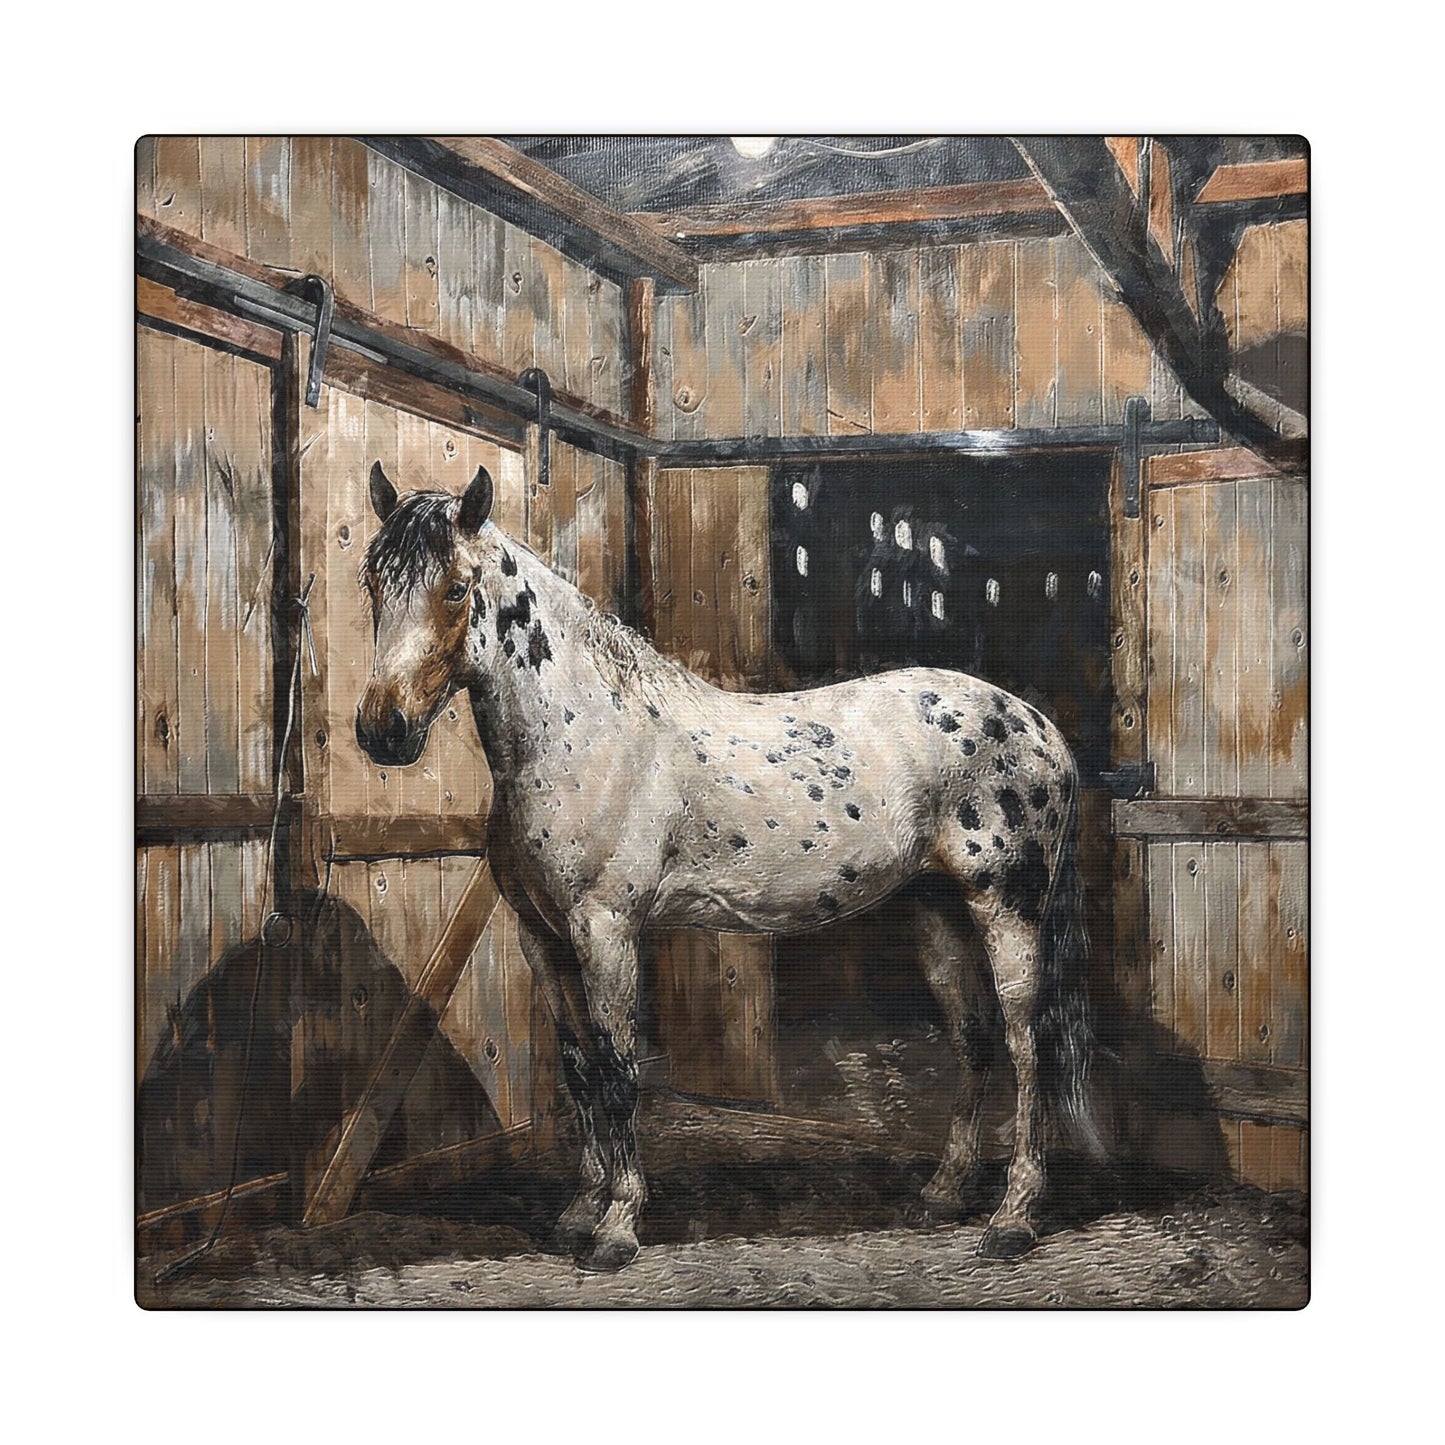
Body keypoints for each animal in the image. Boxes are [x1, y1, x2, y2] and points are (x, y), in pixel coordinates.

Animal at [355, 461, 1099, 1272]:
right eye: (371, 580)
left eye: (457, 588)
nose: (382, 729)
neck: (583, 733)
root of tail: (1040, 728)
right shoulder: (541, 937)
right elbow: (580, 1068)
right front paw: (579, 1210)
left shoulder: (606, 929)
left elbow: (617, 1068)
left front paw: (617, 1227)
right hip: (935, 907)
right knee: (974, 1038)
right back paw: (942, 1194)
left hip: (1006, 907)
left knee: (1028, 1044)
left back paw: (1013, 1218)